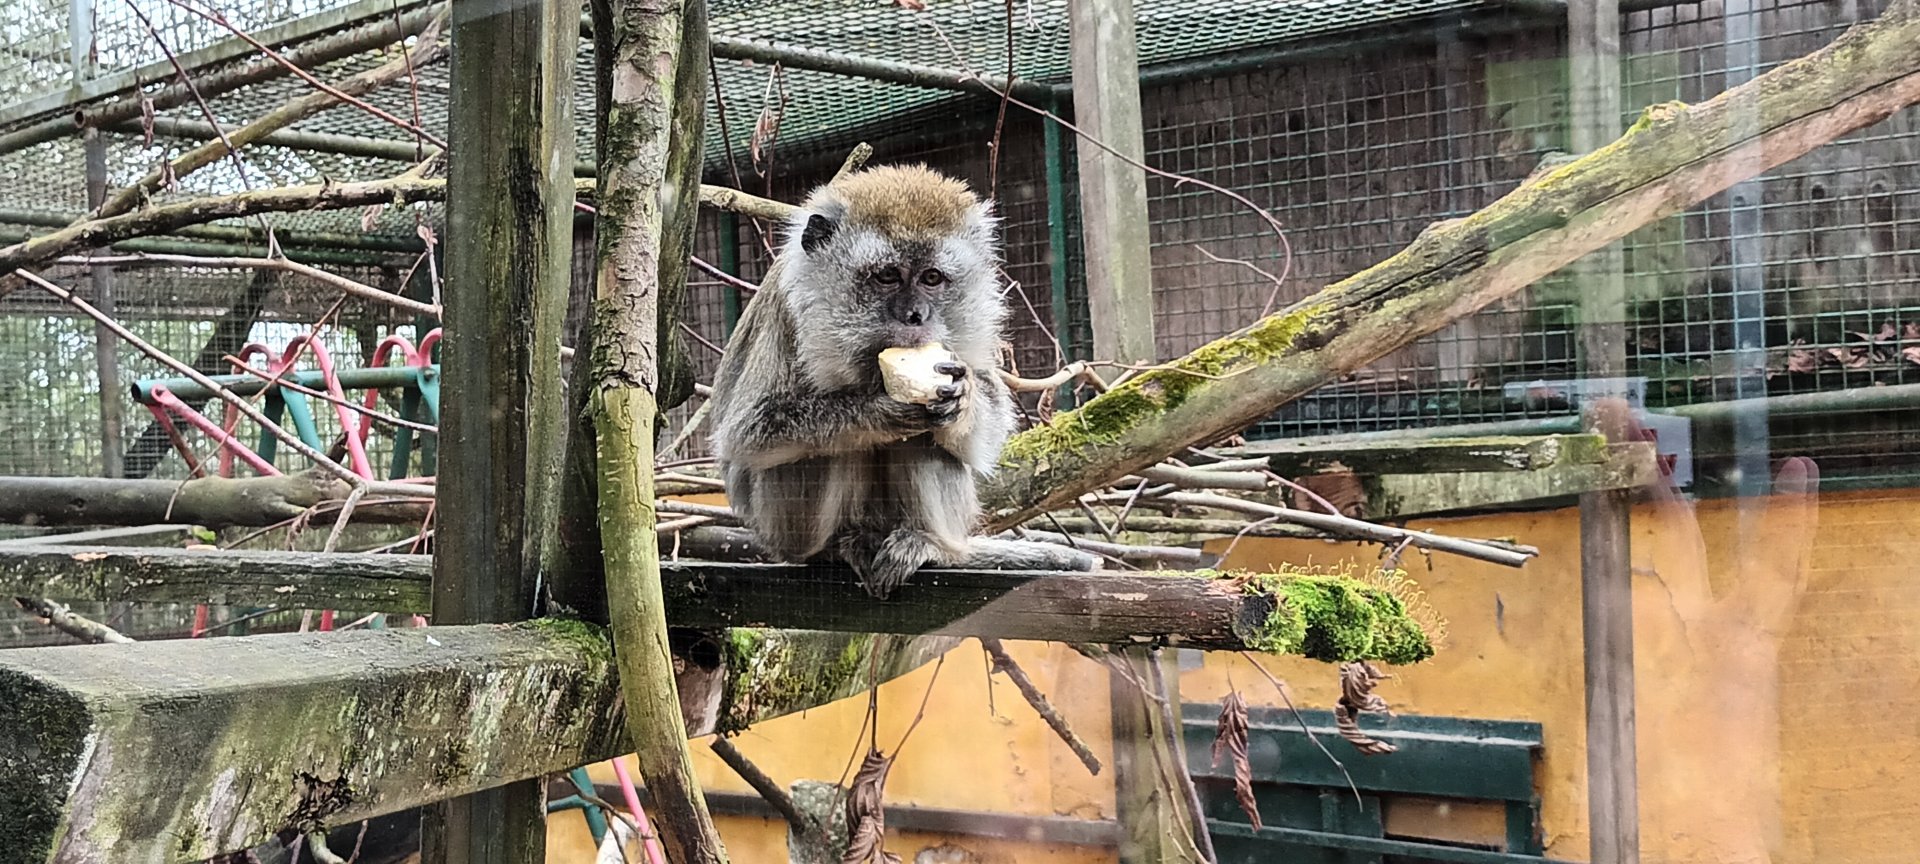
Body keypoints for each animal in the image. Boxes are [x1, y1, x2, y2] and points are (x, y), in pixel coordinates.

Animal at [706, 163, 1100, 599]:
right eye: (887, 276)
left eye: (931, 278)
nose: (915, 315)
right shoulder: (789, 312)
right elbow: (746, 433)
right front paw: (881, 411)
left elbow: (985, 423)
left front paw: (964, 400)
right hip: (781, 529)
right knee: (831, 450)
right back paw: (839, 546)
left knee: (927, 442)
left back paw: (935, 547)